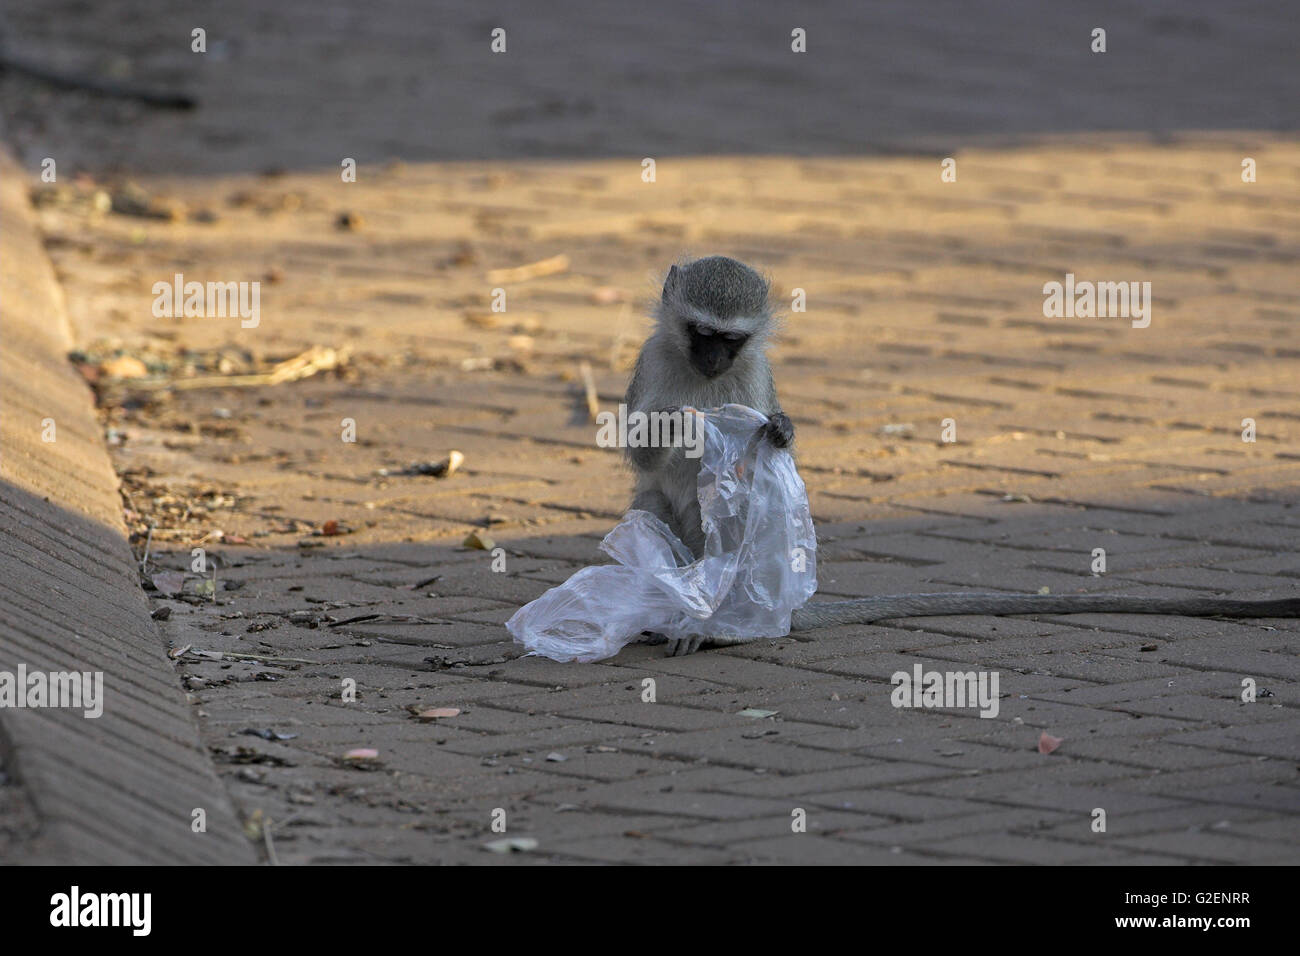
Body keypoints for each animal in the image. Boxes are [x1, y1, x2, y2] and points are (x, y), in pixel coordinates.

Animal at [625, 255, 1300, 655]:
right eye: (700, 334)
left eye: (731, 340)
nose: (714, 360)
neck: (702, 377)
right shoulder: (652, 359)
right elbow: (638, 452)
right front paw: (676, 424)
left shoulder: (757, 371)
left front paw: (782, 431)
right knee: (651, 502)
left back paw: (713, 623)